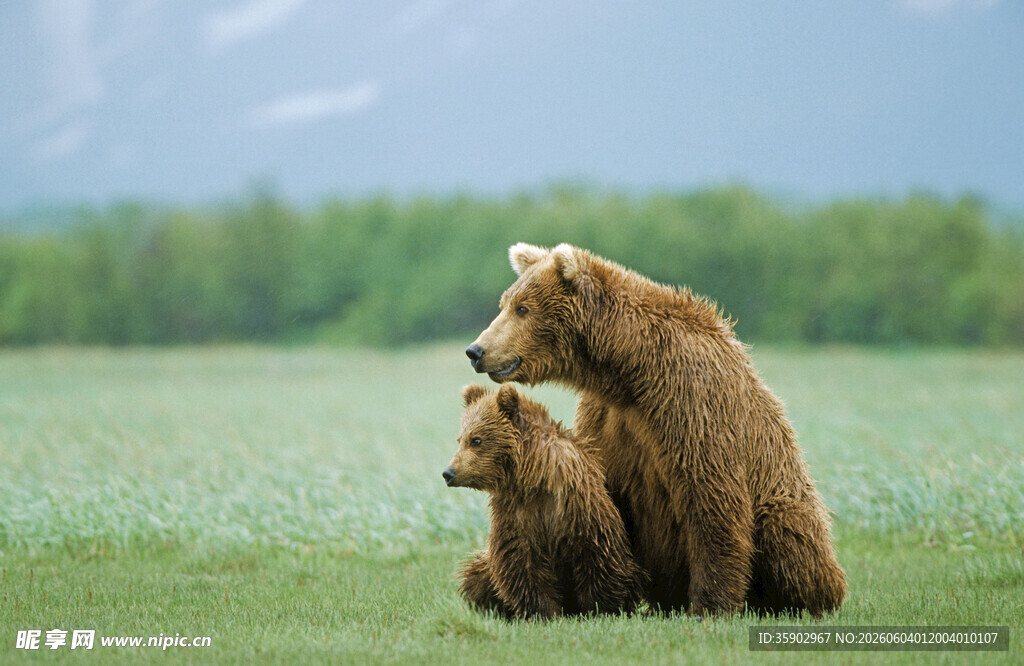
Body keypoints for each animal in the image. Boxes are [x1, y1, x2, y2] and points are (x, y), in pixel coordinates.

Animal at [443, 383, 648, 619]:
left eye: (476, 440)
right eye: (460, 439)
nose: (448, 473)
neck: (534, 478)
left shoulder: (577, 506)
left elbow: (598, 555)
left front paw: (599, 608)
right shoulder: (517, 513)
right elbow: (520, 563)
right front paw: (542, 612)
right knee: (477, 574)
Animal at [464, 243, 846, 617]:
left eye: (523, 308)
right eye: (504, 304)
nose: (475, 350)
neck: (632, 372)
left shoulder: (691, 402)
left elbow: (711, 496)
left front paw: (710, 604)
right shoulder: (608, 418)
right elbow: (599, 494)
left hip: (789, 504)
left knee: (787, 532)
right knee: (479, 569)